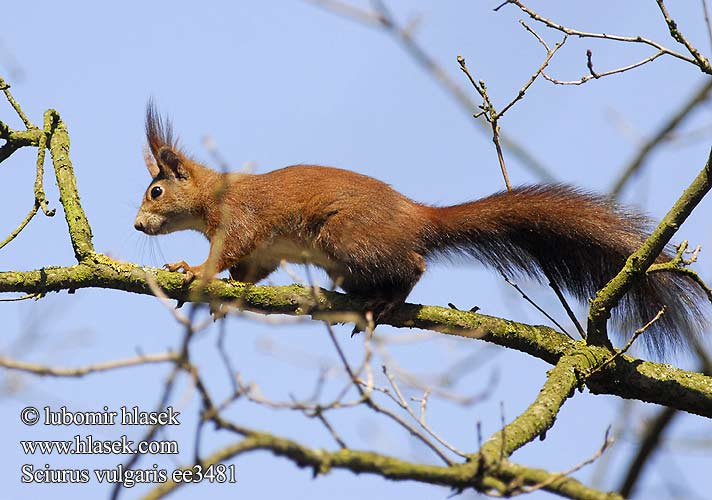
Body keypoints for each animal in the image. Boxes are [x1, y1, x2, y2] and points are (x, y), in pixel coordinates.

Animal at [134, 107, 708, 354]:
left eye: (155, 192)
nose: (137, 224)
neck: (212, 194)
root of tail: (417, 217)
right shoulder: (263, 252)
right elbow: (254, 269)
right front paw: (226, 293)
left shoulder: (240, 218)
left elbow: (226, 252)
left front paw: (192, 270)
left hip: (348, 238)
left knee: (413, 264)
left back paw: (389, 298)